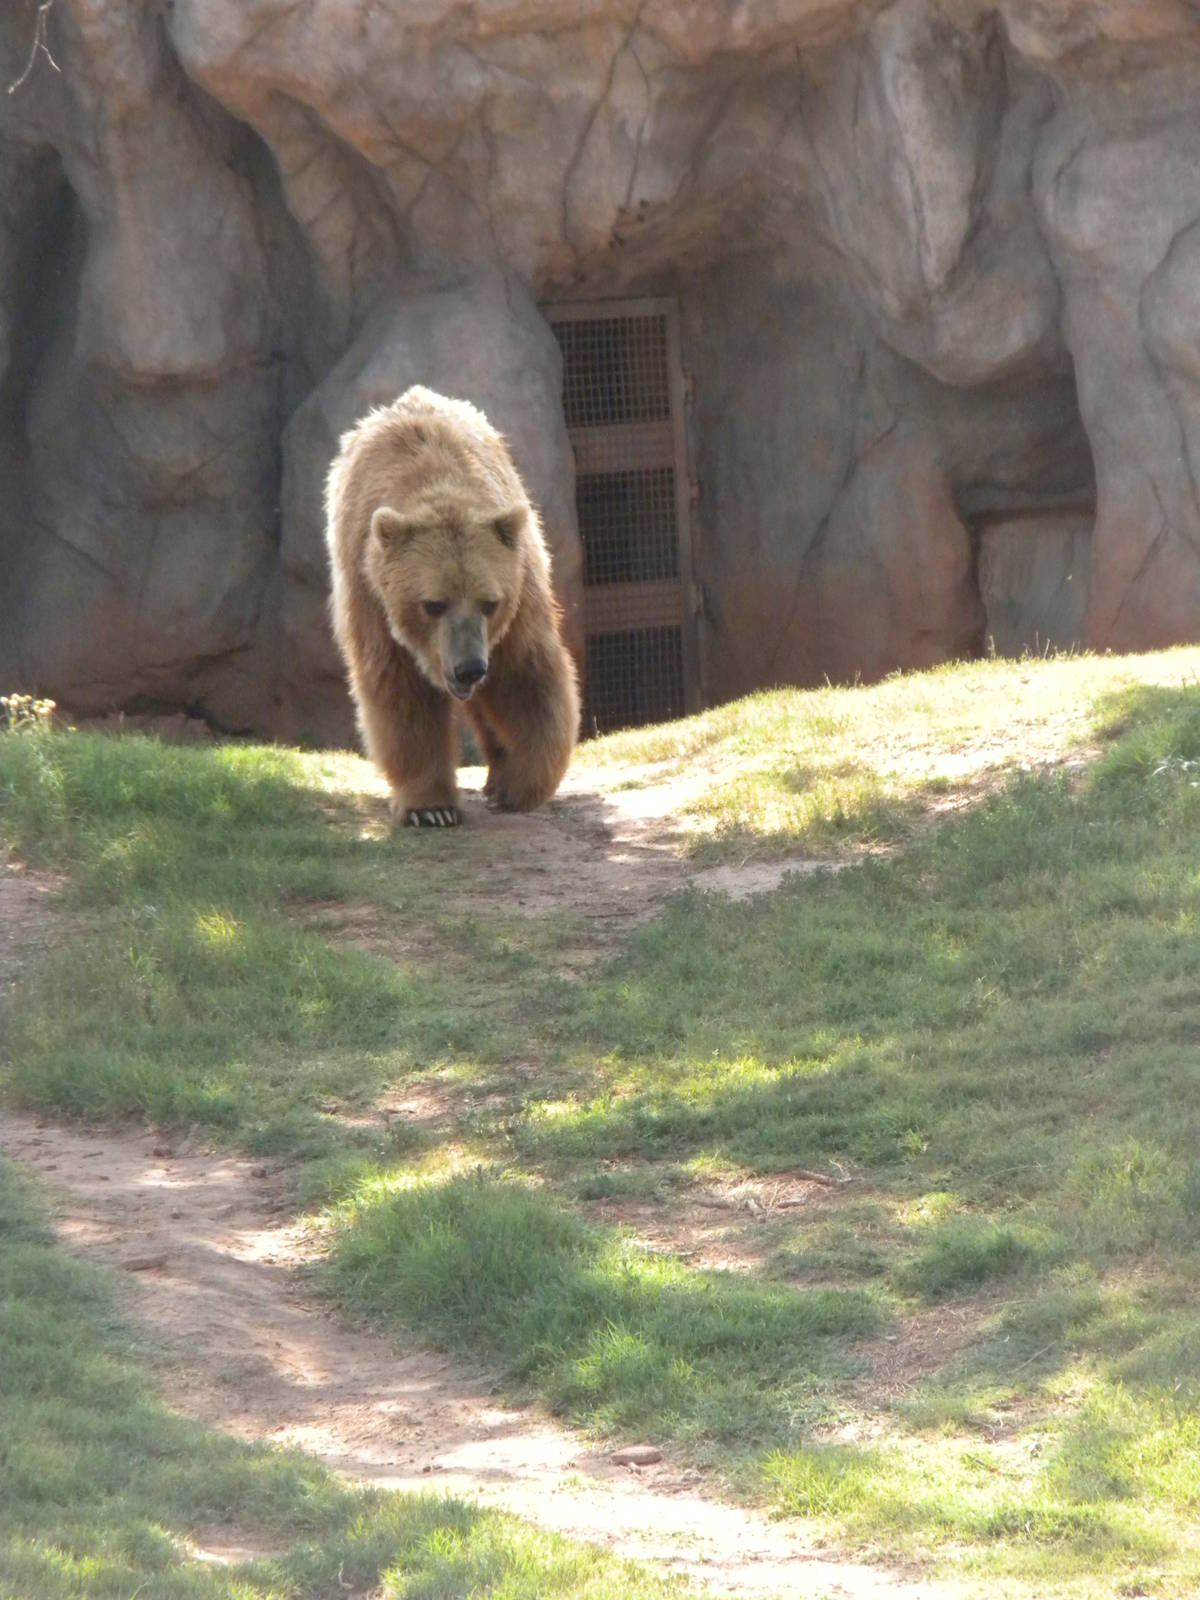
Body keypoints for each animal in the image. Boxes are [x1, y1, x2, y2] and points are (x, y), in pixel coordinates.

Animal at [324, 385, 580, 827]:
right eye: (433, 604)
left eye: (490, 602)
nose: (469, 668)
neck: (435, 481)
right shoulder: (372, 598)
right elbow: (400, 697)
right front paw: (431, 807)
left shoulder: (518, 593)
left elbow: (526, 677)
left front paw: (519, 784)